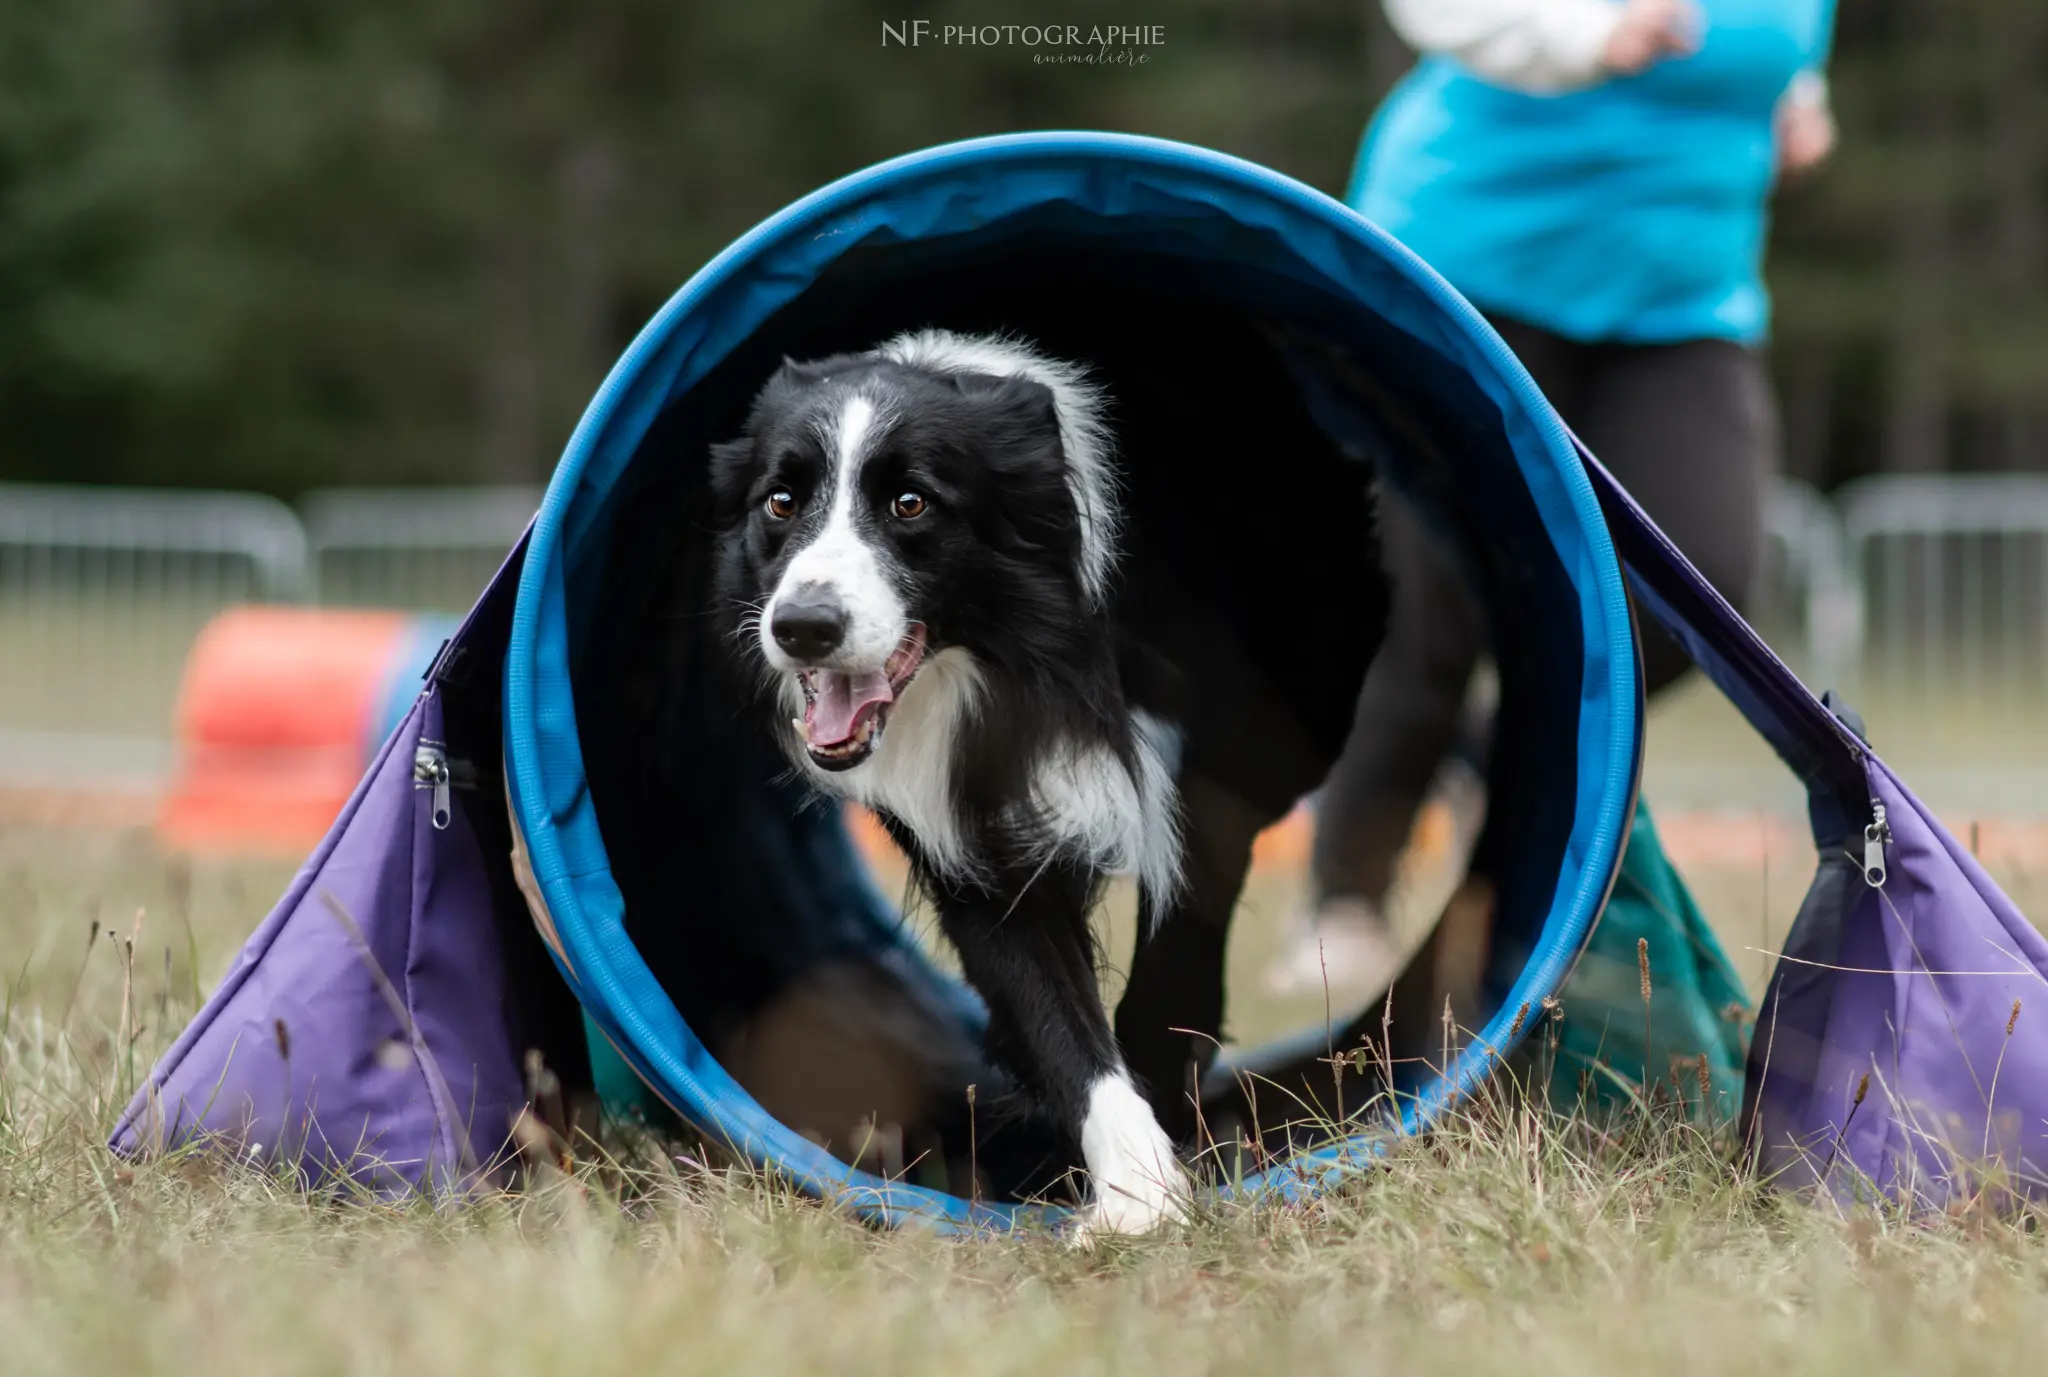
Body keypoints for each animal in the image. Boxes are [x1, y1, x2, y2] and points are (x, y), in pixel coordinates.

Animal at [708, 325, 1392, 1237]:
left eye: (911, 504)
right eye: (780, 503)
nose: (802, 627)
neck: (1010, 642)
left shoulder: (1207, 778)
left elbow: (1174, 953)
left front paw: (1166, 1148)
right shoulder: (968, 838)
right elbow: (1049, 1002)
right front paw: (1138, 1192)